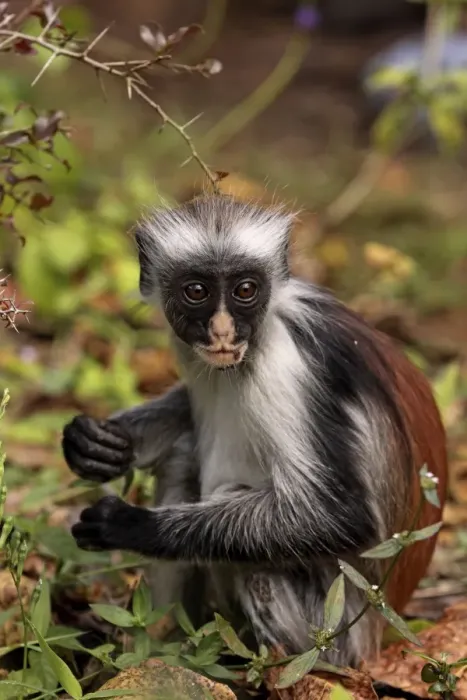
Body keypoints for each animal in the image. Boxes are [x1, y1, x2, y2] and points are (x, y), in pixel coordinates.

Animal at [62, 194, 447, 667]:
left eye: (245, 290)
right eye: (197, 291)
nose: (223, 330)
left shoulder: (285, 365)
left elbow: (341, 515)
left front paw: (132, 525)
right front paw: (100, 443)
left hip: (336, 630)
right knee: (183, 454)